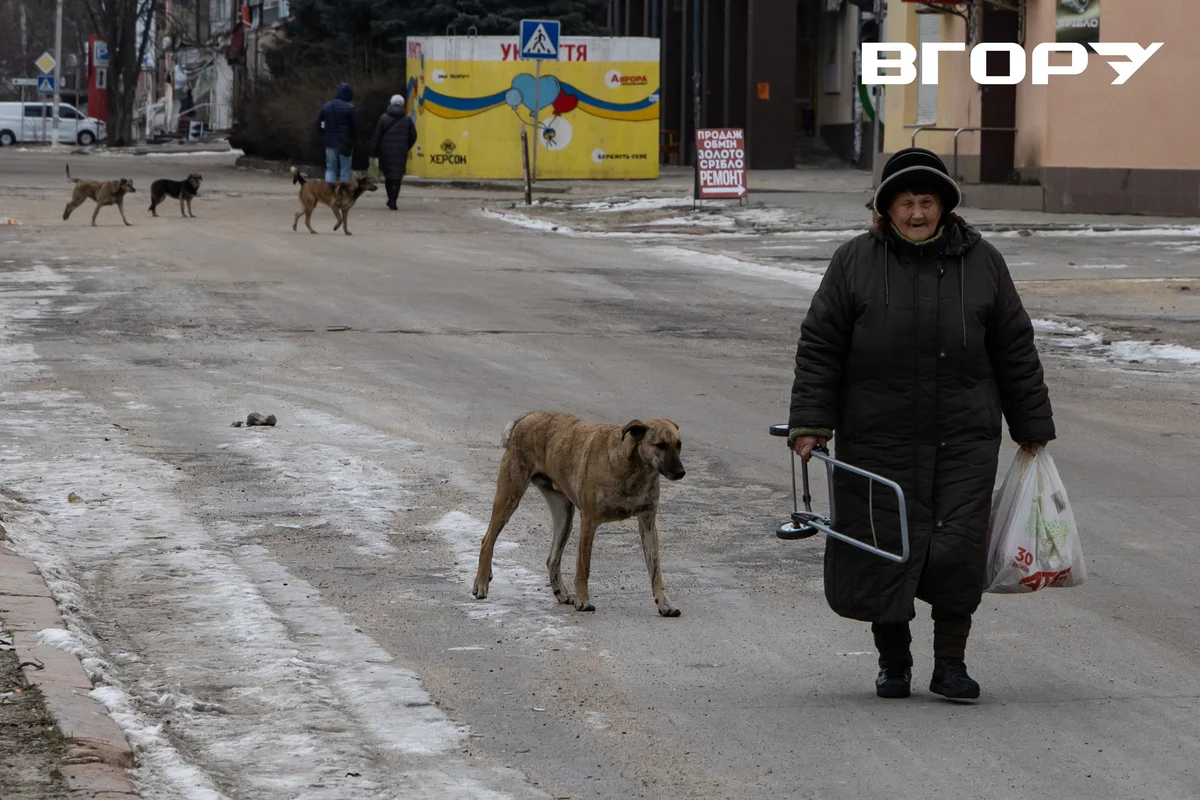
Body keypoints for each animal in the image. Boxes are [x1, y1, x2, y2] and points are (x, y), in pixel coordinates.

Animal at [472, 411, 686, 617]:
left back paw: (561, 592)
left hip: (564, 515)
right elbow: (583, 567)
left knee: (552, 559)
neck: (632, 468)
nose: (681, 472)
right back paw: (481, 582)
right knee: (487, 540)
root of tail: (525, 418)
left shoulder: (648, 525)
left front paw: (665, 604)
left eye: (679, 445)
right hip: (509, 498)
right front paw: (583, 601)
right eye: (660, 445)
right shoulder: (589, 521)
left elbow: (656, 571)